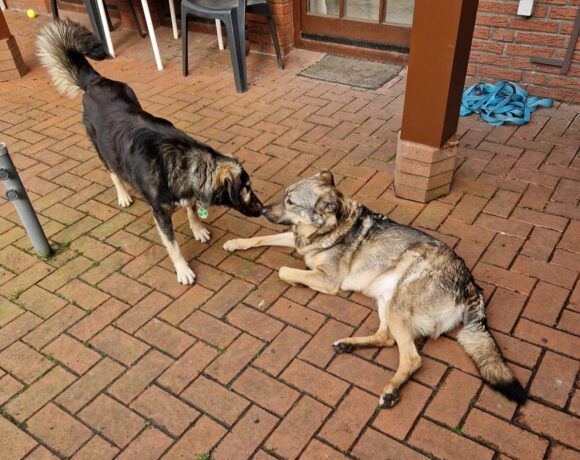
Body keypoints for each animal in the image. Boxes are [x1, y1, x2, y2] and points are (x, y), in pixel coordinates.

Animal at [37, 19, 262, 284]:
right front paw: (183, 269)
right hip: (102, 150)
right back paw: (123, 195)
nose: (263, 209)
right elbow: (173, 245)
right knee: (113, 173)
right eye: (245, 189)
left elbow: (192, 211)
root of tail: (95, 82)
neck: (187, 163)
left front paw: (197, 229)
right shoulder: (160, 214)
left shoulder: (188, 195)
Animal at [224, 171, 528, 408]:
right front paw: (234, 243)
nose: (262, 209)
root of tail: (470, 283)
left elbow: (284, 270)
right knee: (386, 339)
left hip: (396, 306)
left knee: (411, 358)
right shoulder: (296, 241)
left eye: (290, 201)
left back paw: (391, 391)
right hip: (386, 301)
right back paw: (347, 344)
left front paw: (293, 279)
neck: (331, 226)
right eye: (284, 195)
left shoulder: (327, 280)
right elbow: (262, 238)